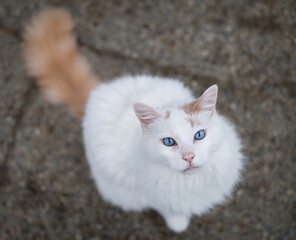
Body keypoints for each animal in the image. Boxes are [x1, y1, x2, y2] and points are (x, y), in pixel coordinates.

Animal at [23, 7, 243, 232]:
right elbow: (170, 210)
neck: (192, 183)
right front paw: (179, 224)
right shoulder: (148, 191)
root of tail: (97, 93)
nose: (189, 157)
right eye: (169, 142)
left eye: (199, 135)